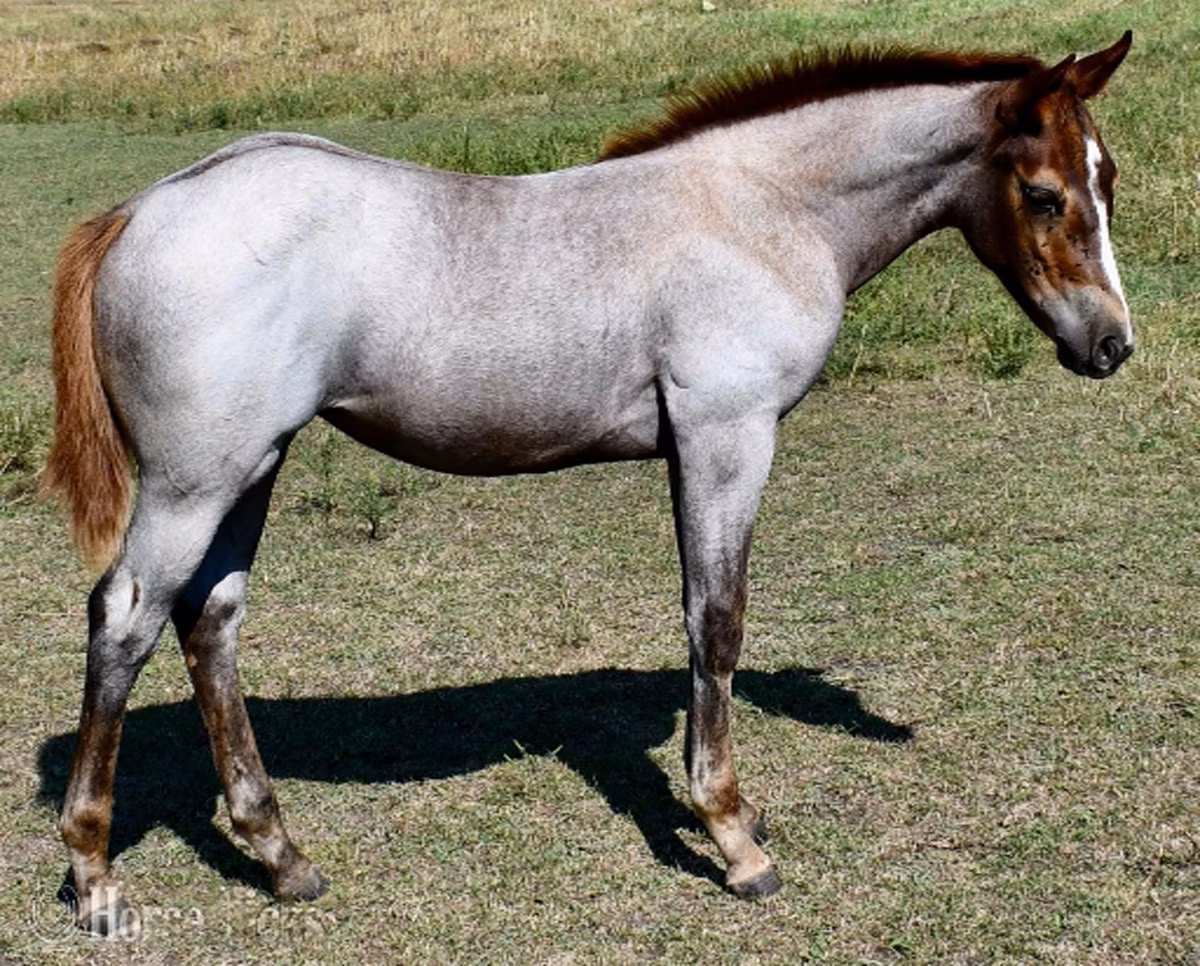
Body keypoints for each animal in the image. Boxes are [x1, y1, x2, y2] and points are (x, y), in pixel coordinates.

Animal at [44, 32, 1133, 935]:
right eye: (1044, 194)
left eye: (1107, 180)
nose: (1112, 344)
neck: (760, 208)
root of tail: (140, 210)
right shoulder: (725, 435)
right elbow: (717, 620)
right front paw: (732, 837)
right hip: (195, 479)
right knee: (127, 618)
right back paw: (96, 875)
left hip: (253, 465)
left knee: (210, 620)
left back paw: (281, 857)